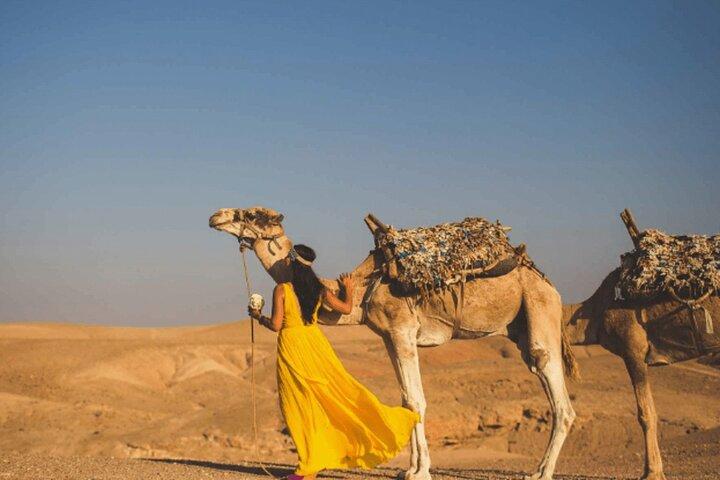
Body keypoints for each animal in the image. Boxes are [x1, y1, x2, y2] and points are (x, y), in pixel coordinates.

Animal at [209, 206, 579, 480]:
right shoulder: (389, 336)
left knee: (558, 394)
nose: (216, 215)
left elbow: (416, 400)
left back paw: (541, 473)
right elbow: (405, 399)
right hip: (521, 326)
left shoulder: (402, 330)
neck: (363, 287)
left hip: (539, 308)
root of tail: (549, 283)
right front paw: (411, 469)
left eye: (253, 214)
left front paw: (421, 472)